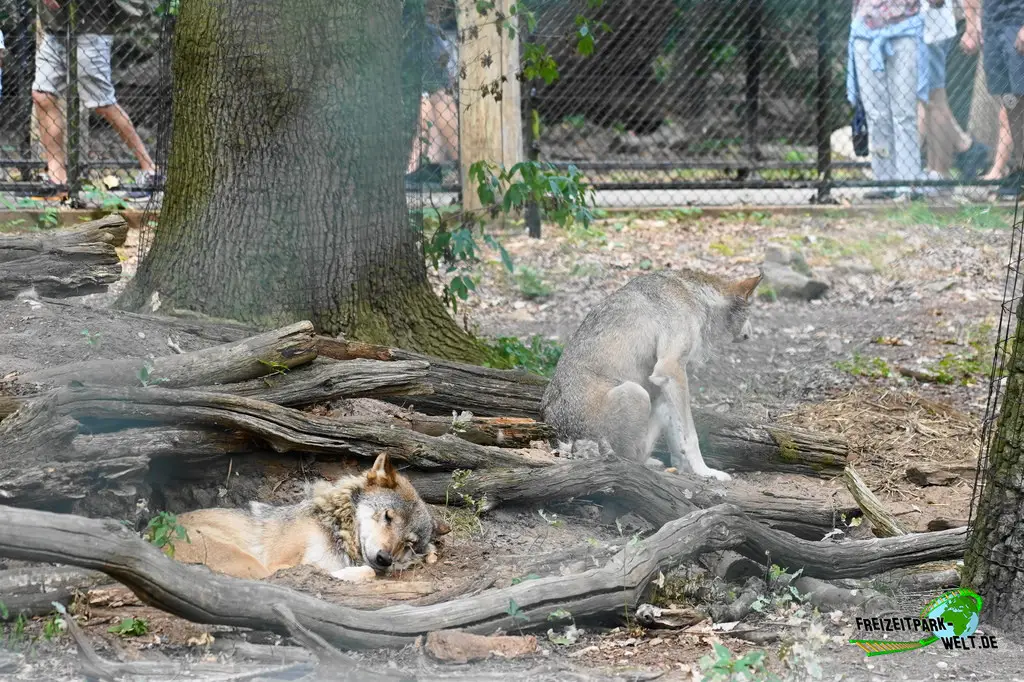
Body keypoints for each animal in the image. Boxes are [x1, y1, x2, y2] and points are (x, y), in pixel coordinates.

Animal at [169, 453, 450, 582]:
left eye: (409, 543)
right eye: (388, 517)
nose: (384, 558)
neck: (336, 531)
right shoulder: (278, 564)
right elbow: (359, 571)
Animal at [541, 269, 761, 482]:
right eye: (749, 315)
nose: (750, 334)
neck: (694, 296)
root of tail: (557, 433)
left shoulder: (666, 381)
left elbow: (678, 436)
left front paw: (685, 467)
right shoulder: (671, 370)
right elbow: (691, 436)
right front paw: (705, 472)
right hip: (635, 392)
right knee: (631, 457)